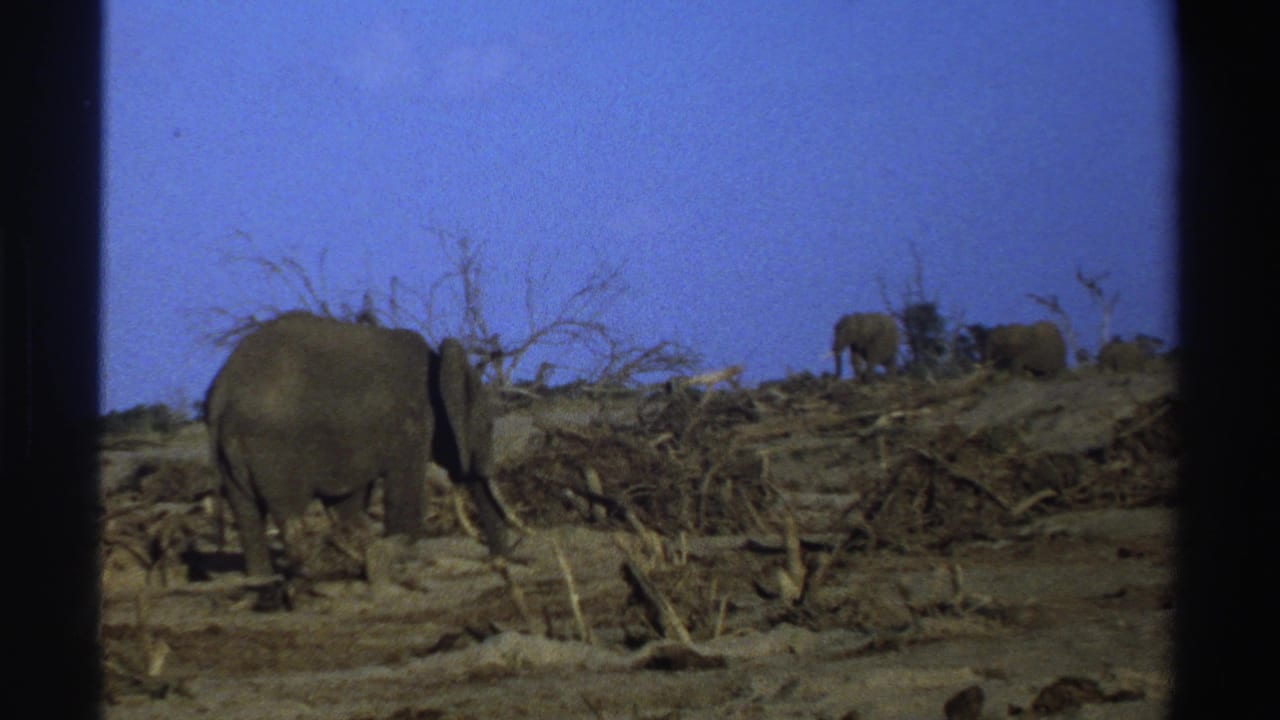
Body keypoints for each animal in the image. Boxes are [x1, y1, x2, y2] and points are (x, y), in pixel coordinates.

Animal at [204, 312, 509, 578]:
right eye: (488, 426)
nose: (498, 561)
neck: (439, 363)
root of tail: (221, 393)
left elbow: (347, 502)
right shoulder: (410, 424)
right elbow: (403, 488)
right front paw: (401, 549)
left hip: (229, 451)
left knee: (247, 514)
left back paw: (263, 577)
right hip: (273, 446)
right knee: (290, 513)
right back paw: (313, 572)